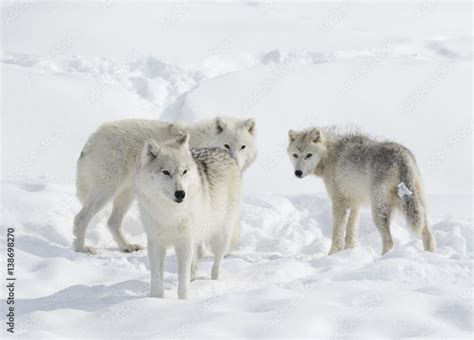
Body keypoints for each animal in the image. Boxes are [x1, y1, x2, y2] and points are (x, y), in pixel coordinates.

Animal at [73, 116, 256, 252]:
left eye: (243, 147)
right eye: (226, 145)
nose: (234, 162)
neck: (206, 141)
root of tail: (93, 136)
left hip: (127, 194)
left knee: (112, 222)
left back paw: (127, 246)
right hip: (107, 190)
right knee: (81, 217)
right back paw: (81, 248)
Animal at [136, 134, 241, 298]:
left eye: (184, 171)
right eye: (166, 172)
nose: (181, 193)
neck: (170, 213)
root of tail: (223, 151)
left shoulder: (184, 242)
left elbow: (183, 278)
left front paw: (183, 300)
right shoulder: (156, 243)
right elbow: (157, 277)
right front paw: (156, 299)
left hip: (221, 237)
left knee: (217, 263)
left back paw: (214, 282)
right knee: (195, 265)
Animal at [286, 127, 436, 255]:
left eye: (308, 155)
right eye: (295, 155)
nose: (298, 172)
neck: (329, 155)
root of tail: (401, 156)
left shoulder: (338, 202)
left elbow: (337, 231)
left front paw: (332, 254)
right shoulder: (354, 203)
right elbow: (351, 231)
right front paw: (349, 251)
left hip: (378, 211)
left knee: (389, 241)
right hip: (417, 207)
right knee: (428, 235)